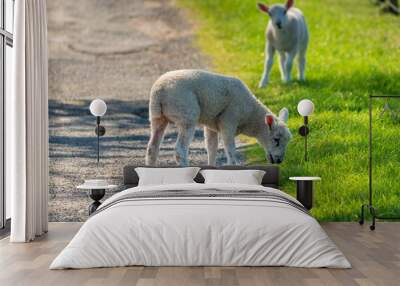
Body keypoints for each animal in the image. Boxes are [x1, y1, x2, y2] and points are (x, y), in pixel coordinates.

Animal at [145, 69, 292, 166]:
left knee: (152, 148)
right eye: (276, 139)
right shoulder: (229, 121)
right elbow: (230, 150)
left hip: (157, 116)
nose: (279, 161)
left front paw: (211, 166)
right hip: (186, 113)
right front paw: (232, 166)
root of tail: (160, 91)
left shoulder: (211, 125)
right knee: (180, 150)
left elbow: (212, 148)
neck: (250, 114)